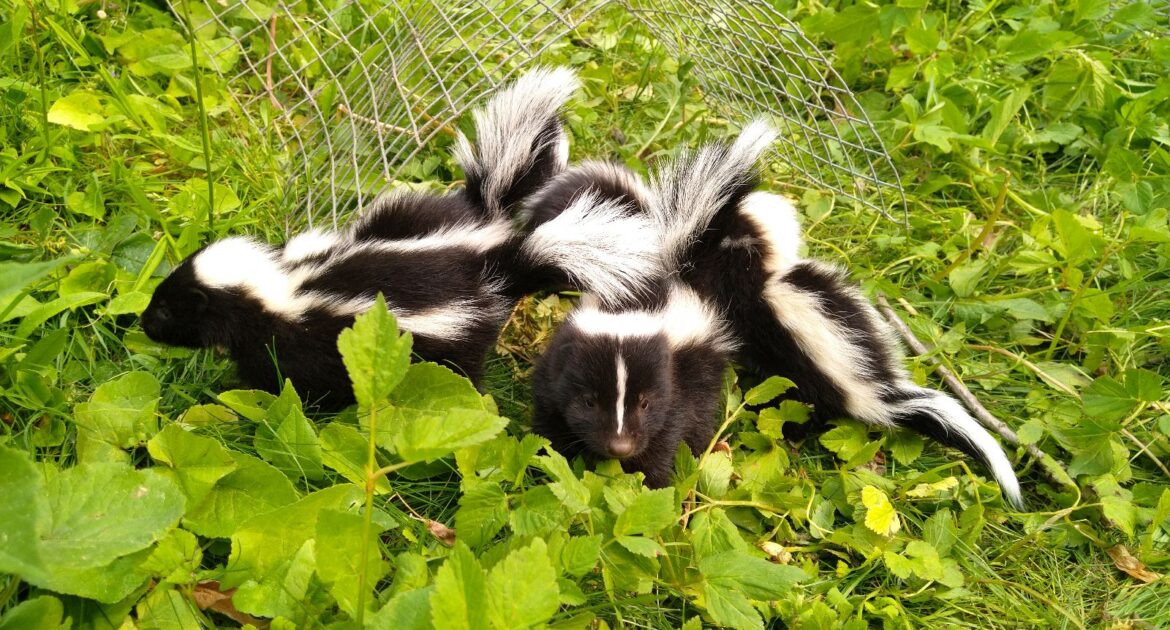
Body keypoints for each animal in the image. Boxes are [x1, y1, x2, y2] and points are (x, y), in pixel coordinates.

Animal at [139, 67, 659, 407]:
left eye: (167, 308)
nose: (141, 324)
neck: (281, 288)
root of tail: (492, 241)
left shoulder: (302, 345)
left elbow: (294, 386)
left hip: (452, 343)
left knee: (462, 373)